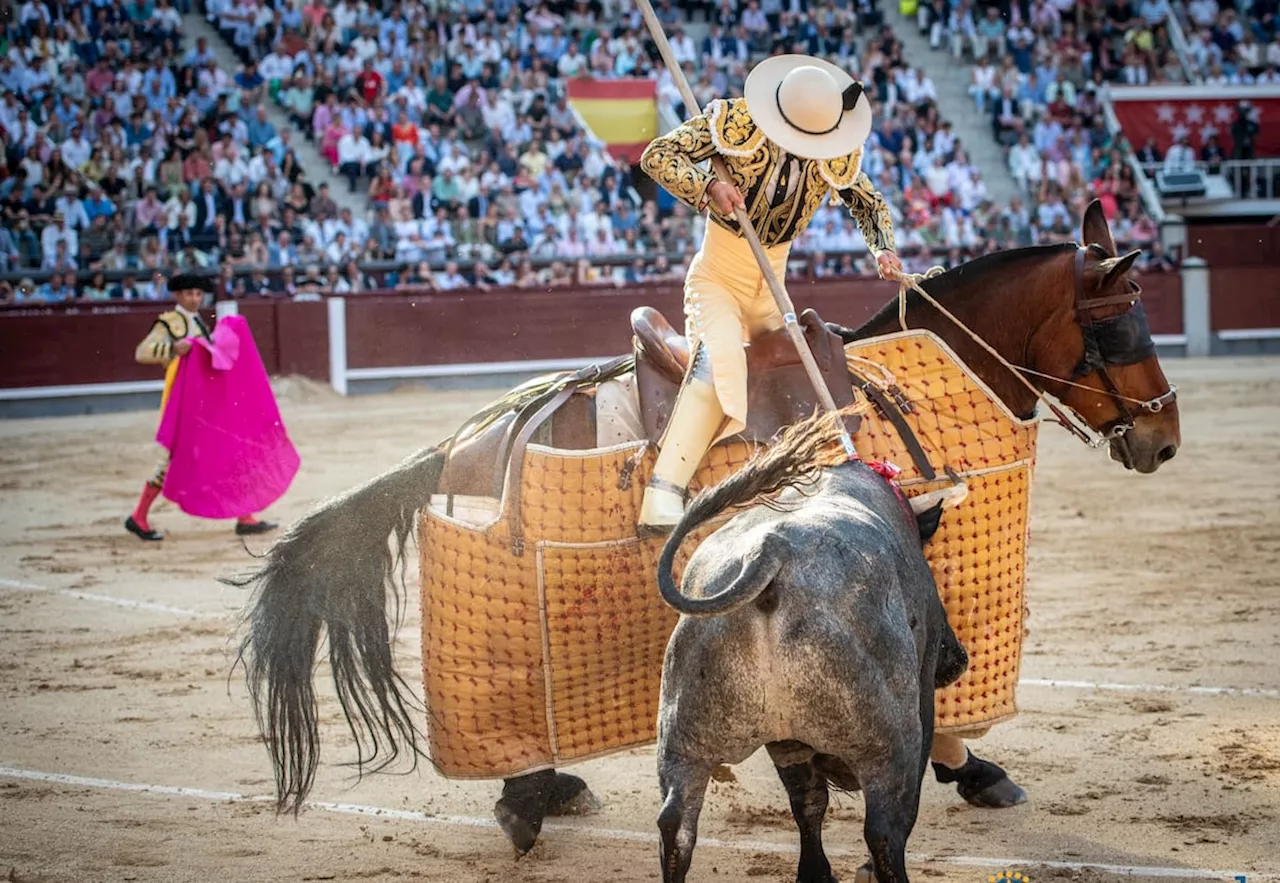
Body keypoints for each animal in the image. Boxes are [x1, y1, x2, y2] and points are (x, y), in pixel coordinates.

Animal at [655, 422, 962, 880]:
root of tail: (769, 550)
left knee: (677, 826)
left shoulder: (789, 743)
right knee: (887, 828)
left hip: (684, 741)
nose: (956, 659)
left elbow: (808, 803)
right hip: (891, 744)